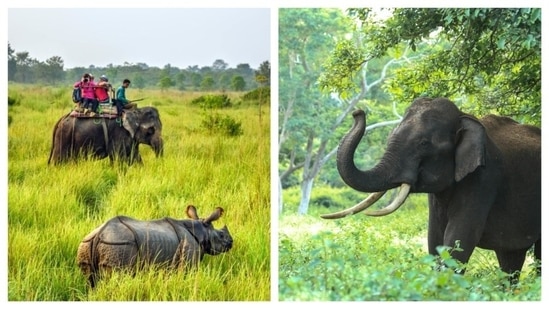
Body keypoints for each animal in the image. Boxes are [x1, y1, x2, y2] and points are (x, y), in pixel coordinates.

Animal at [76, 205, 232, 286]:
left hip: (87, 244)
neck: (201, 230)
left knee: (90, 280)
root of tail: (99, 234)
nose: (232, 242)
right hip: (119, 246)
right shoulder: (189, 259)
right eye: (221, 235)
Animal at [322, 97, 540, 282]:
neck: (464, 116)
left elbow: (459, 238)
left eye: (423, 143)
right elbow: (435, 238)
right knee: (510, 258)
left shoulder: (484, 178)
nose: (357, 112)